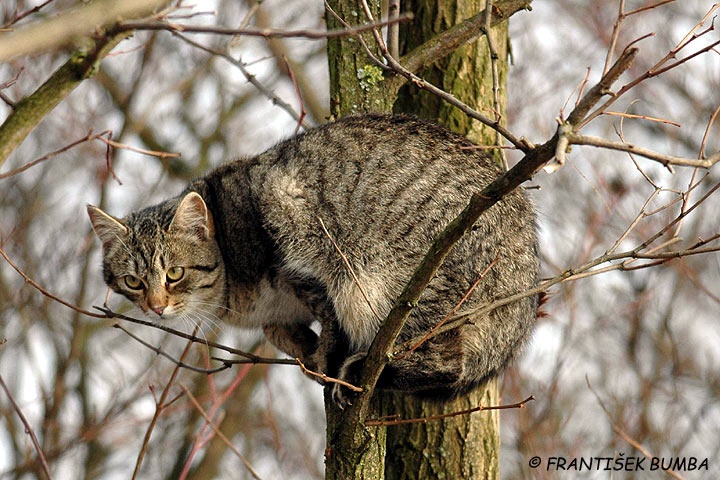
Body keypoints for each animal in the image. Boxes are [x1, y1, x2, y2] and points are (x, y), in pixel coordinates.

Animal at [88, 113, 540, 404]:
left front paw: (325, 354)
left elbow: (328, 316)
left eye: (175, 273)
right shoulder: (274, 314)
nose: (156, 306)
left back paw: (362, 371)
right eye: (133, 282)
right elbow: (280, 332)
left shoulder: (298, 250)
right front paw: (303, 348)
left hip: (397, 284)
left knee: (446, 363)